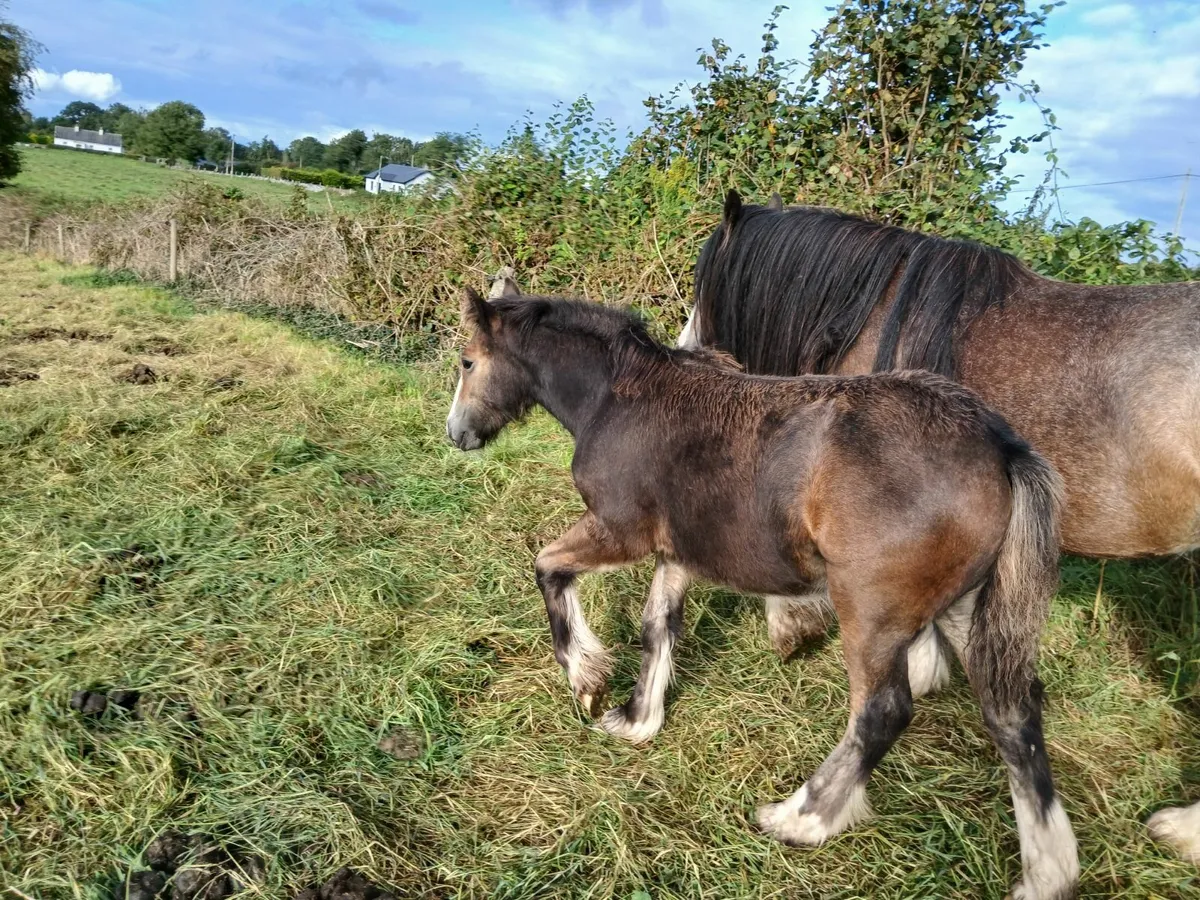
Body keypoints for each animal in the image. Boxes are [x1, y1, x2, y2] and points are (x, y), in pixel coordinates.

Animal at [446, 281, 1079, 899]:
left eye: (468, 360)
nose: (458, 434)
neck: (616, 398)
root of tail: (1000, 448)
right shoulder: (680, 549)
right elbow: (657, 624)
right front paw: (638, 718)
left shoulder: (619, 531)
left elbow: (548, 567)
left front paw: (587, 679)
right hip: (964, 607)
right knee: (1013, 713)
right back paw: (1047, 872)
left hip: (873, 611)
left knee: (882, 711)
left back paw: (801, 818)